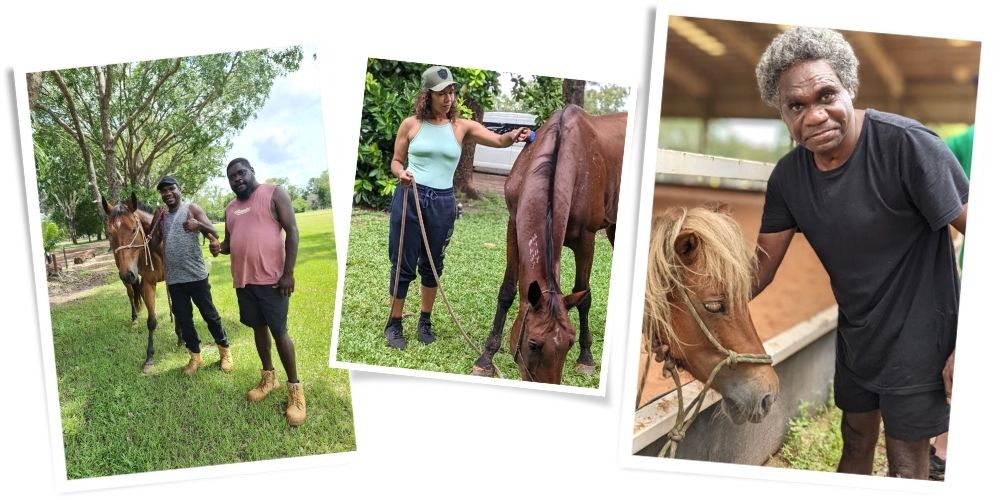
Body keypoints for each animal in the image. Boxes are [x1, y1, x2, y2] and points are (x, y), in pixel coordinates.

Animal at [102, 191, 182, 372]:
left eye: (133, 230)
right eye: (109, 234)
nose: (127, 274)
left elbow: (177, 310)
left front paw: (181, 338)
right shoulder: (147, 284)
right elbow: (151, 321)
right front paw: (149, 358)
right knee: (131, 294)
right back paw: (134, 318)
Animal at [470, 104, 624, 382]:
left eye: (570, 343)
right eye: (533, 344)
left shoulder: (586, 240)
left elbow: (584, 296)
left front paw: (586, 358)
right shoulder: (514, 226)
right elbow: (507, 291)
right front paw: (485, 358)